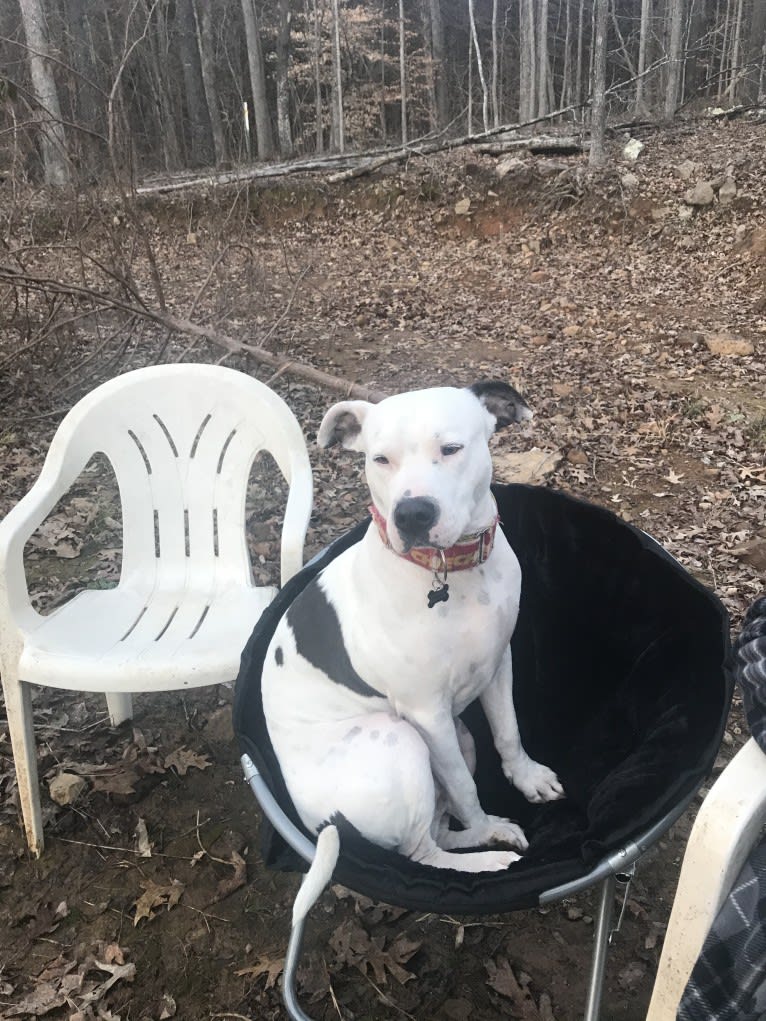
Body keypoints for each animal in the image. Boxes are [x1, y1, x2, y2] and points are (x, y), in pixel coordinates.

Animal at [263, 379, 563, 914]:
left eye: (451, 448)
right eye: (380, 459)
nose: (413, 513)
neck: (450, 573)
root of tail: (319, 822)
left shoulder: (498, 663)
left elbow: (508, 732)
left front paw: (527, 777)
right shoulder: (427, 713)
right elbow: (466, 789)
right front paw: (489, 822)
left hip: (458, 737)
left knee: (440, 830)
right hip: (402, 741)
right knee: (423, 851)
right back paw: (490, 848)